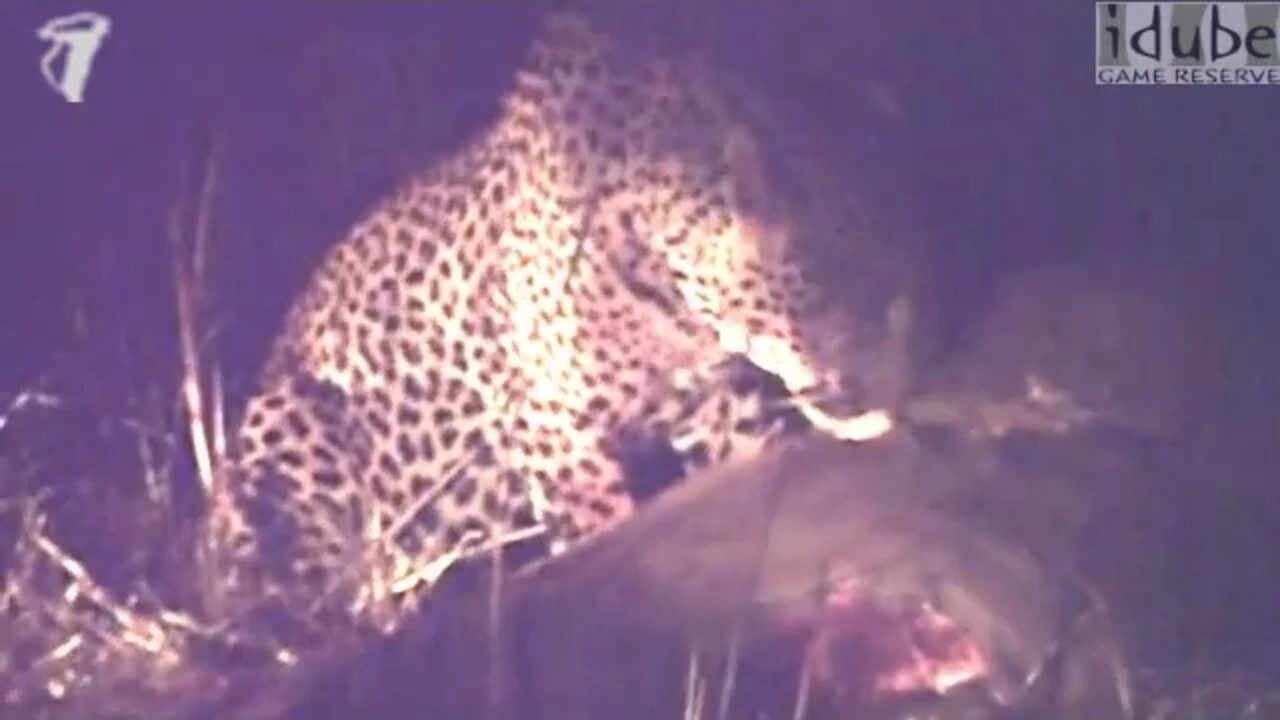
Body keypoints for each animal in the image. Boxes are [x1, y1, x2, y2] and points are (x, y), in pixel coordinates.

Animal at [204, 7, 896, 632]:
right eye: (822, 289)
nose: (885, 394)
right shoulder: (555, 431)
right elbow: (604, 533)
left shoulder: (718, 406)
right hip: (290, 439)